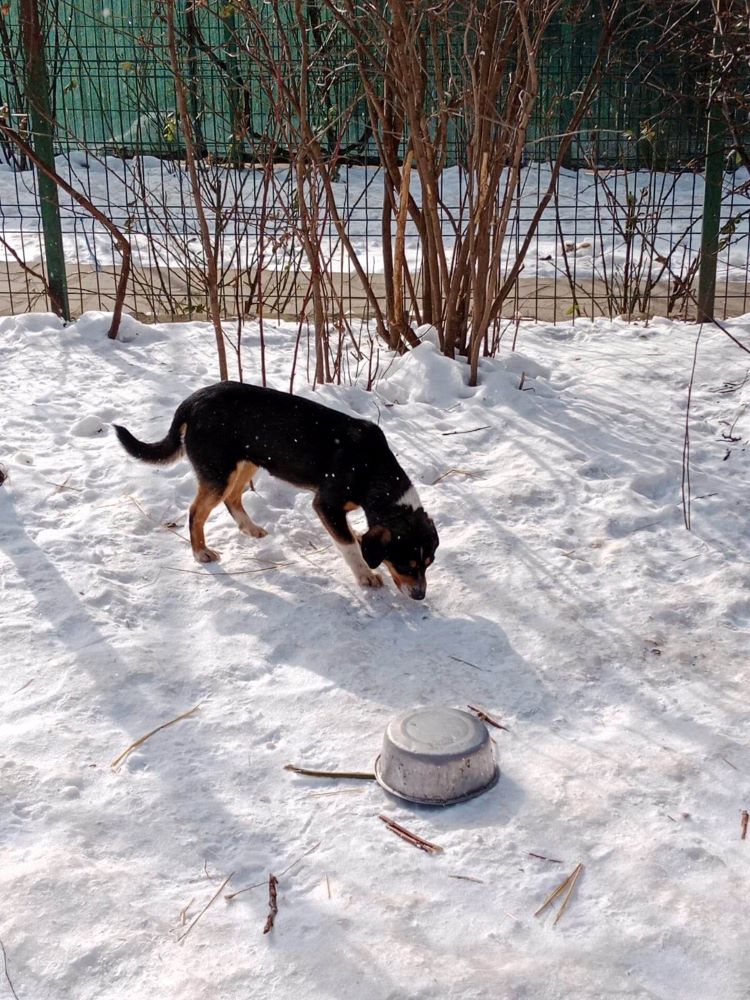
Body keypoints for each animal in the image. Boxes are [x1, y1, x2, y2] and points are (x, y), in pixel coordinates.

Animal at [114, 382, 438, 600]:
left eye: (428, 564)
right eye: (404, 564)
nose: (420, 595)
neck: (371, 467)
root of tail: (192, 401)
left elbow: (354, 536)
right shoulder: (326, 504)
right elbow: (348, 546)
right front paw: (365, 575)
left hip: (248, 462)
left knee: (233, 499)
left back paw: (251, 529)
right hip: (219, 472)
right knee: (197, 511)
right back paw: (201, 552)